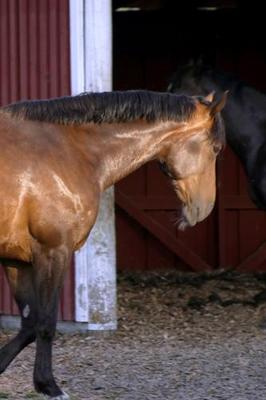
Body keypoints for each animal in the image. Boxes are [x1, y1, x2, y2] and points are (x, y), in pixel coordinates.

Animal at [0, 89, 227, 398]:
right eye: (215, 148)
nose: (203, 209)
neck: (70, 151)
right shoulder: (53, 252)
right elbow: (44, 322)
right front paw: (48, 385)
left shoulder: (17, 260)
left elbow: (29, 323)